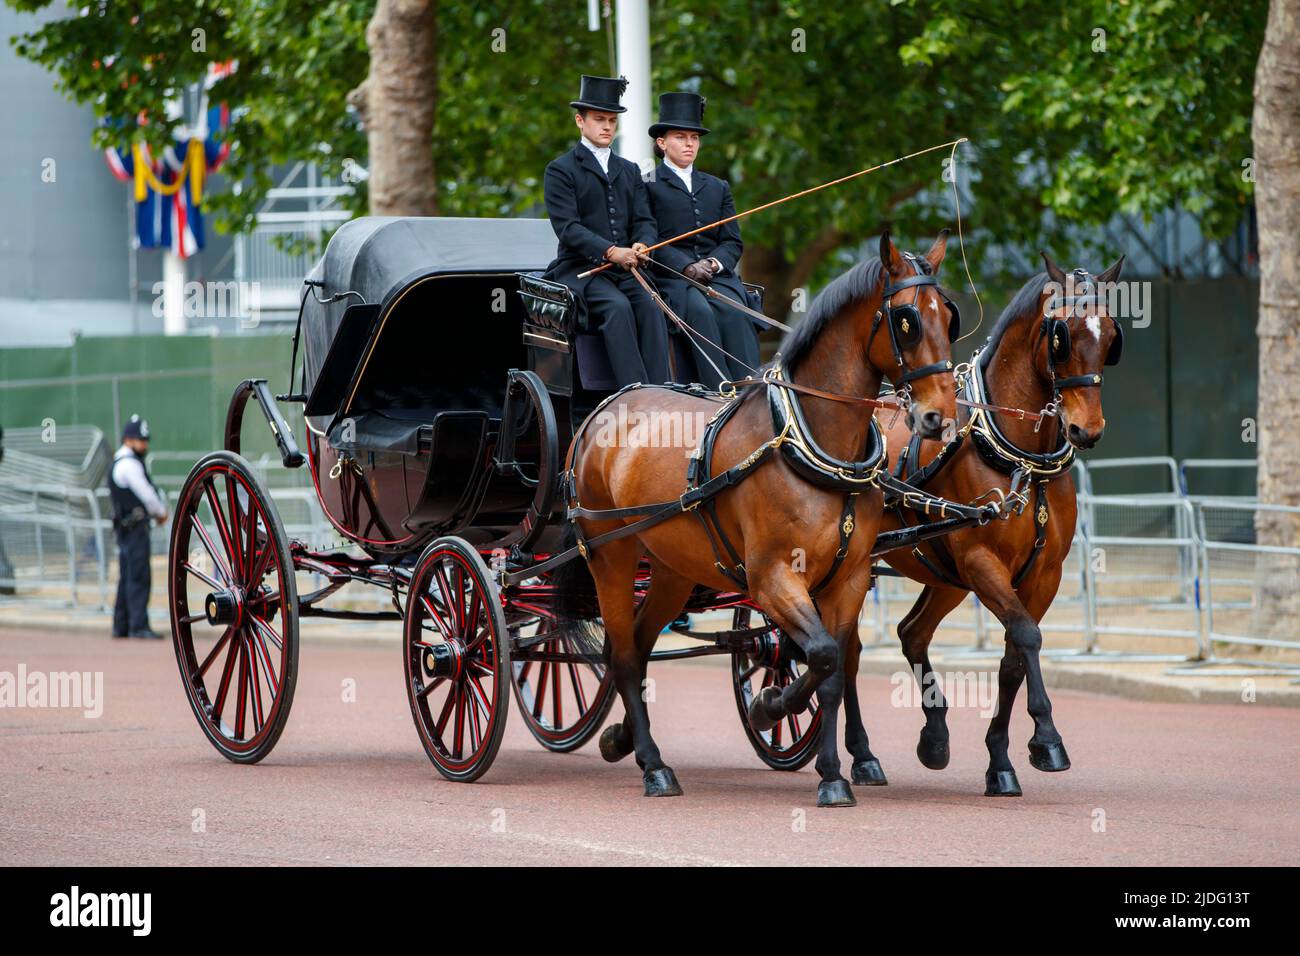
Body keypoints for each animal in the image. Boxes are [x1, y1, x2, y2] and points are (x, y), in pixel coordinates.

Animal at [564, 231, 961, 806]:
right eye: (906, 319)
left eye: (948, 316)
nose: (939, 418)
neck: (813, 445)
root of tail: (607, 405)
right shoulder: (772, 576)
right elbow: (821, 655)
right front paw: (770, 706)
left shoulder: (848, 578)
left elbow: (833, 666)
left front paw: (833, 774)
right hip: (610, 556)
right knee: (621, 655)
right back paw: (654, 766)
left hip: (672, 569)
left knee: (636, 645)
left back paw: (624, 741)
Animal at [847, 251, 1123, 796]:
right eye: (1061, 335)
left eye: (1110, 337)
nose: (1087, 430)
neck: (1020, 458)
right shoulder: (982, 562)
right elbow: (1027, 636)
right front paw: (1048, 738)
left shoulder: (1043, 574)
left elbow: (1014, 655)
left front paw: (1001, 761)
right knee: (846, 647)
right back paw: (862, 753)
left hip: (944, 575)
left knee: (911, 632)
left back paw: (933, 737)